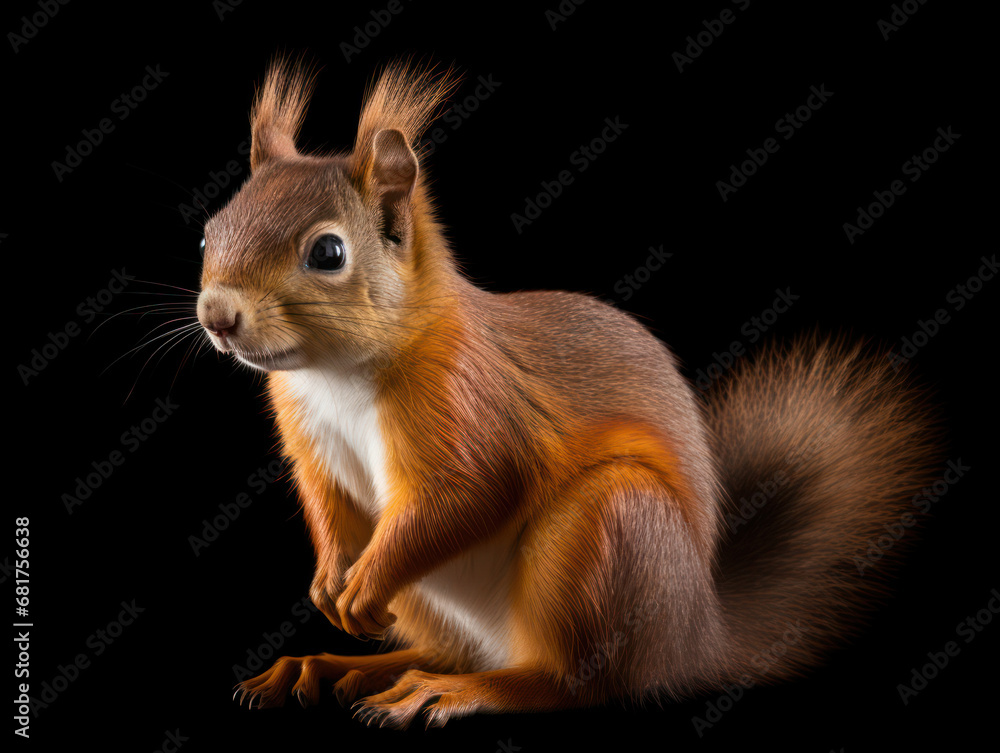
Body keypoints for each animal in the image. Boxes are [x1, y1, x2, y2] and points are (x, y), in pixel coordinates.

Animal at [196, 59, 939, 728]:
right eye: (209, 230)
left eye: (327, 253)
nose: (217, 315)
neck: (336, 375)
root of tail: (694, 638)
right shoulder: (306, 432)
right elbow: (325, 500)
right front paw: (328, 581)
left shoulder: (469, 400)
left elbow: (465, 496)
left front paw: (362, 586)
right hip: (449, 600)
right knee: (452, 649)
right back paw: (338, 667)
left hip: (604, 531)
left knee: (574, 680)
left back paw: (454, 691)